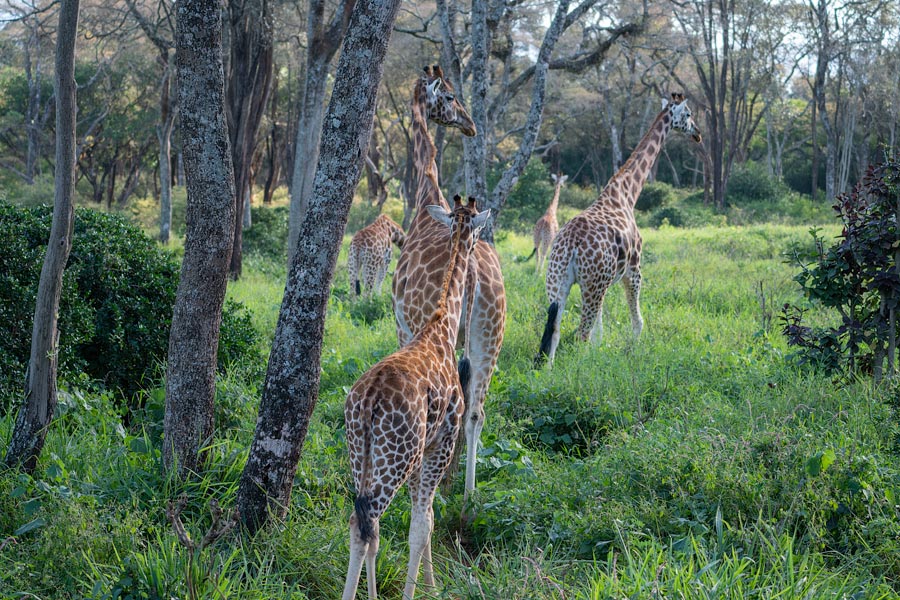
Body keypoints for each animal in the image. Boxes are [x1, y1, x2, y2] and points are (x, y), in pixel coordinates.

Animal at [342, 196, 490, 600]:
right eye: (479, 229)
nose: (477, 249)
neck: (441, 325)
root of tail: (368, 401)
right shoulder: (442, 441)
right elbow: (422, 524)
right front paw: (422, 590)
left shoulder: (422, 451)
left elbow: (424, 517)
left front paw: (430, 584)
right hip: (396, 456)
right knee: (365, 523)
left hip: (362, 454)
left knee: (365, 523)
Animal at [392, 65, 506, 497]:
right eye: (453, 96)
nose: (470, 125)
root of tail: (472, 271)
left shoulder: (403, 327)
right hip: (491, 334)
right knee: (477, 410)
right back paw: (468, 491)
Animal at [536, 93, 702, 366]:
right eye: (688, 114)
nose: (698, 134)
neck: (627, 193)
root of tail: (569, 246)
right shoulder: (634, 270)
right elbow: (637, 322)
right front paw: (633, 351)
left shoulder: (604, 281)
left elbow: (599, 332)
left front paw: (599, 354)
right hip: (590, 284)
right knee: (581, 333)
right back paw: (579, 370)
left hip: (558, 281)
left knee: (556, 329)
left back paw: (548, 372)